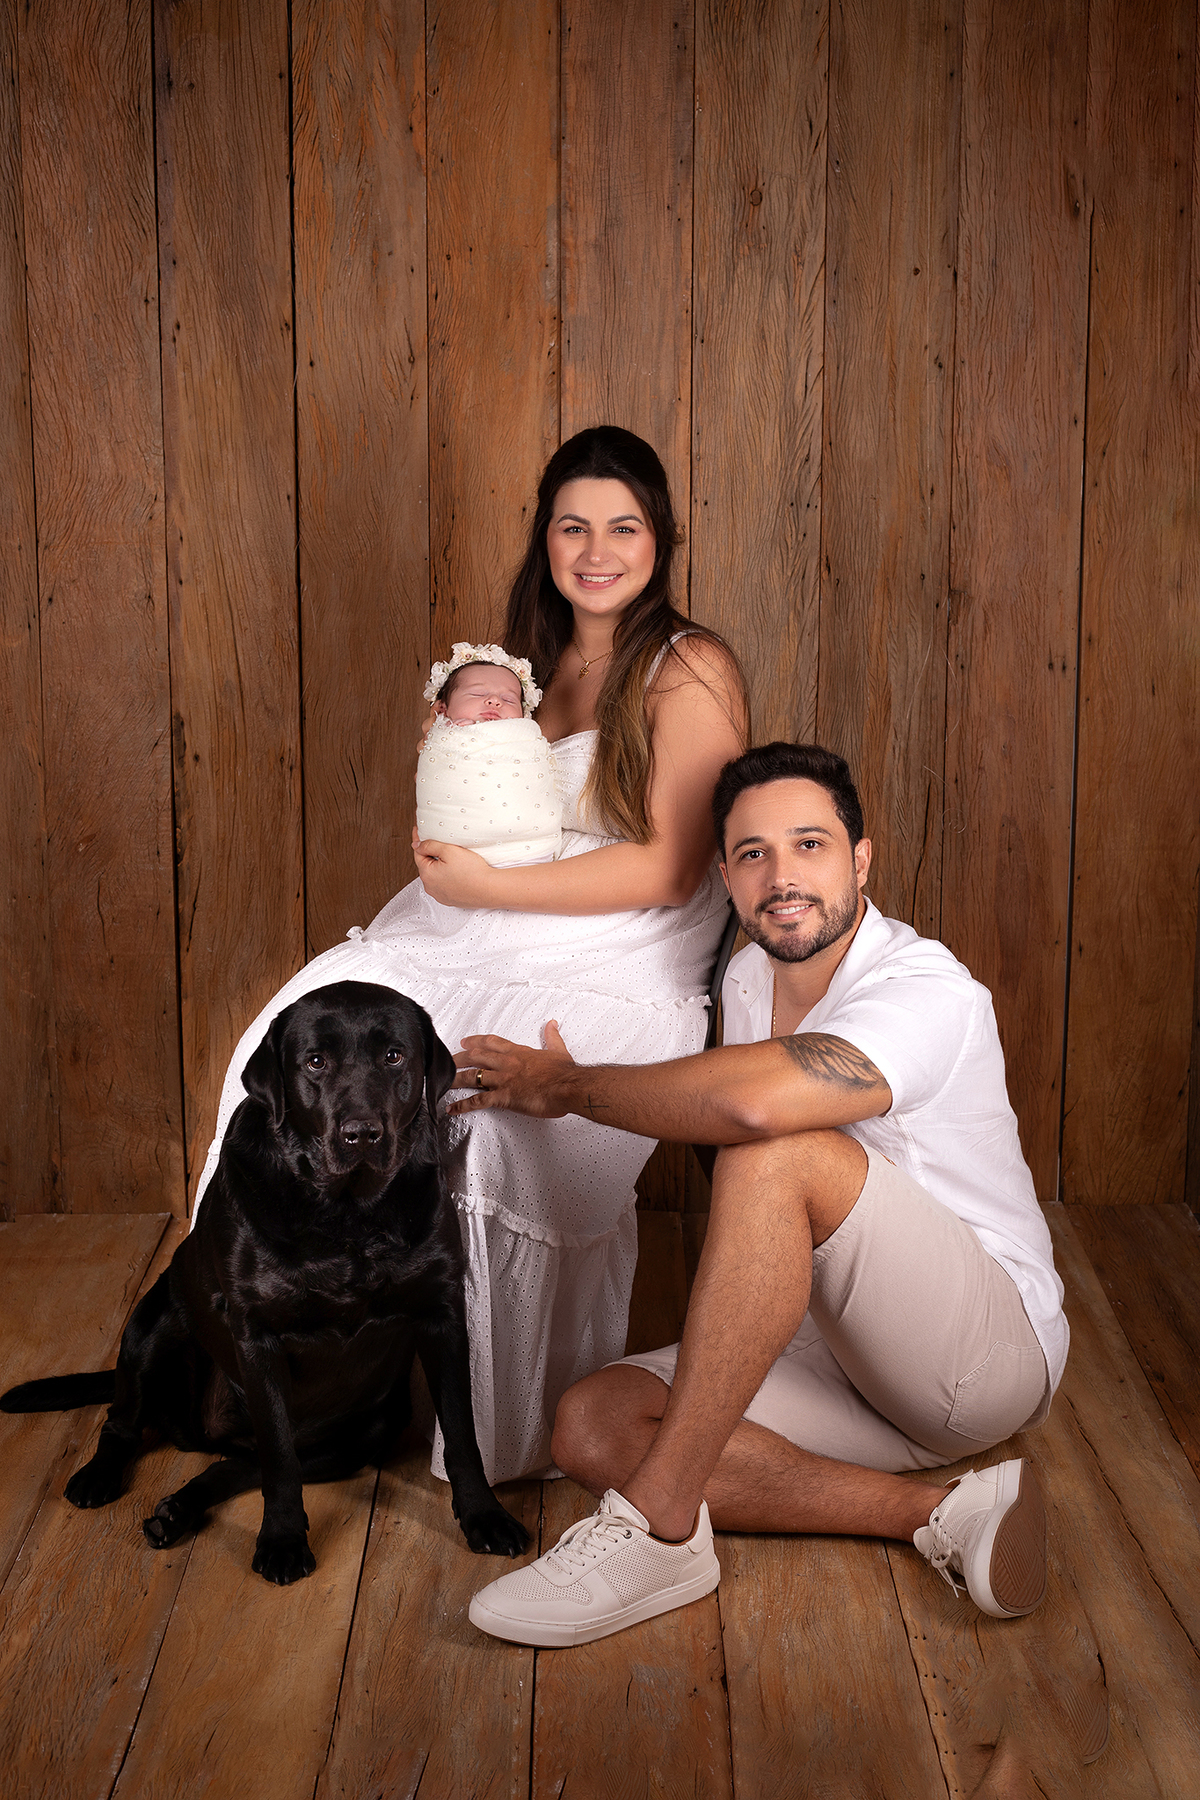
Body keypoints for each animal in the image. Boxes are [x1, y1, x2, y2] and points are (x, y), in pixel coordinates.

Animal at [2, 981, 529, 1583]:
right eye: (315, 1062)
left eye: (395, 1056)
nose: (361, 1134)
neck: (347, 1212)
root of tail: (198, 1432)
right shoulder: (258, 1335)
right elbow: (279, 1457)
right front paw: (281, 1540)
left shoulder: (440, 1315)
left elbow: (462, 1433)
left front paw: (485, 1516)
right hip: (154, 1323)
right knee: (126, 1421)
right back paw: (100, 1476)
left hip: (367, 1430)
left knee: (235, 1466)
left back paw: (178, 1511)